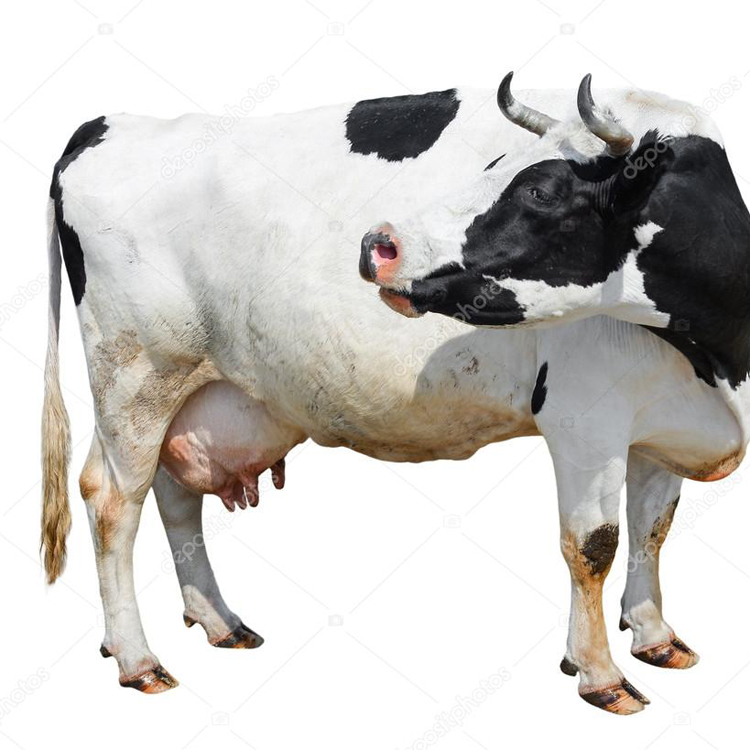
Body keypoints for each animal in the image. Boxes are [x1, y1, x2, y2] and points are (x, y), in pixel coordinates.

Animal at [42, 73, 744, 715]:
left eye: (540, 190)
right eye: (495, 165)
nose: (378, 245)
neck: (718, 360)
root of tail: (108, 122)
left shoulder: (668, 425)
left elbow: (652, 528)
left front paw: (653, 635)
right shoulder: (584, 422)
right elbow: (593, 544)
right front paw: (599, 671)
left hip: (190, 391)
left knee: (174, 494)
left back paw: (218, 621)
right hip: (133, 375)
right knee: (112, 500)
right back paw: (137, 658)